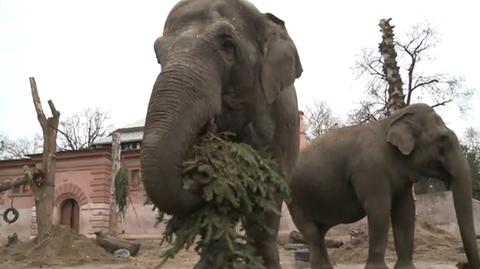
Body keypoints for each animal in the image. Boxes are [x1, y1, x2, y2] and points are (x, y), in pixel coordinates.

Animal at [288, 102, 480, 268]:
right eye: (443, 139)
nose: (462, 264)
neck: (392, 120)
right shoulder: (370, 169)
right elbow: (379, 208)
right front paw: (377, 268)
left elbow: (405, 211)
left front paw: (406, 268)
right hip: (294, 198)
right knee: (311, 232)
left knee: (319, 232)